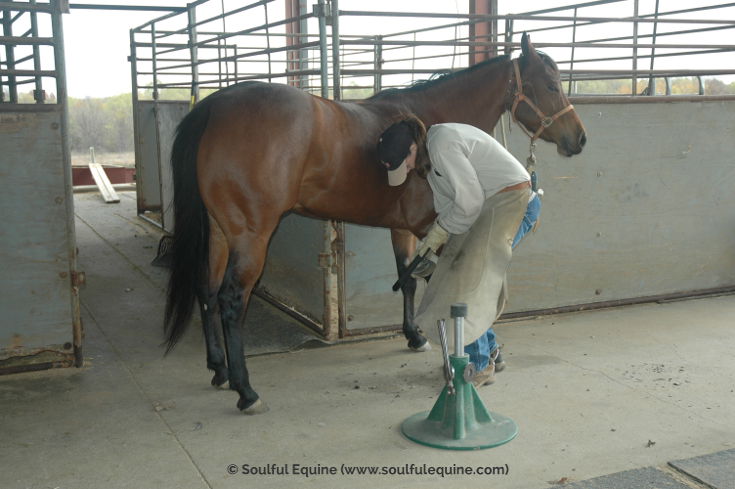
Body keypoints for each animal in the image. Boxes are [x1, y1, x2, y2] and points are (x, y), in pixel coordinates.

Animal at [165, 33, 588, 412]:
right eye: (551, 85)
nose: (580, 139)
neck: (429, 121)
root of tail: (214, 105)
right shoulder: (431, 225)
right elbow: (454, 283)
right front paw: (483, 351)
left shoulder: (404, 229)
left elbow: (408, 280)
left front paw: (415, 336)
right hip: (252, 236)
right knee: (231, 301)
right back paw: (246, 390)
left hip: (221, 233)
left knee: (207, 290)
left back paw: (219, 369)